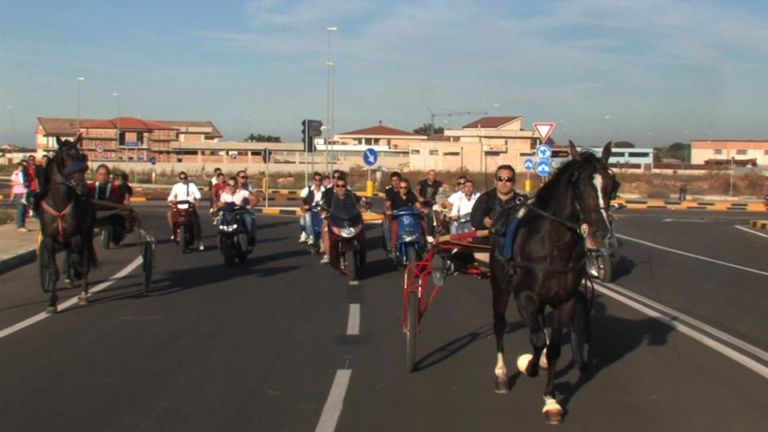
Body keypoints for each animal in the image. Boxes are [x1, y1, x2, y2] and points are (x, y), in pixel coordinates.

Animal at [37, 135, 97, 314]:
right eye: (64, 159)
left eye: (81, 156)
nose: (82, 187)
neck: (59, 204)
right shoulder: (49, 239)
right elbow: (53, 270)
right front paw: (52, 303)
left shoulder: (77, 235)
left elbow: (79, 260)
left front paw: (77, 273)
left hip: (86, 234)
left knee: (84, 258)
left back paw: (83, 290)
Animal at [492, 141, 616, 422]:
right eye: (579, 185)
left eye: (613, 184)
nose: (600, 234)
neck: (554, 246)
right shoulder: (525, 296)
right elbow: (538, 341)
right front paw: (528, 366)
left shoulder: (566, 300)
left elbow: (554, 347)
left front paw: (550, 399)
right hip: (500, 287)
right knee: (500, 325)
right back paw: (502, 374)